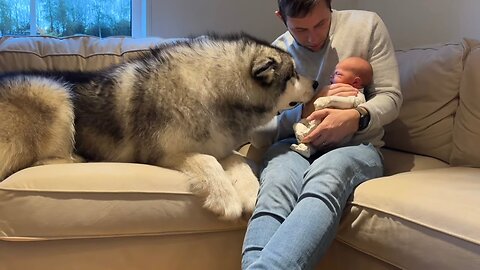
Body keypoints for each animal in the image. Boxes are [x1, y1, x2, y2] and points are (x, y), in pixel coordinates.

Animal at [0, 33, 316, 219]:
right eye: (292, 74)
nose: (315, 83)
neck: (210, 90)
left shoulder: (221, 146)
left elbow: (239, 161)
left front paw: (250, 193)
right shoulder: (165, 153)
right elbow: (208, 161)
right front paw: (225, 198)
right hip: (53, 92)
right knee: (44, 160)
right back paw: (78, 159)